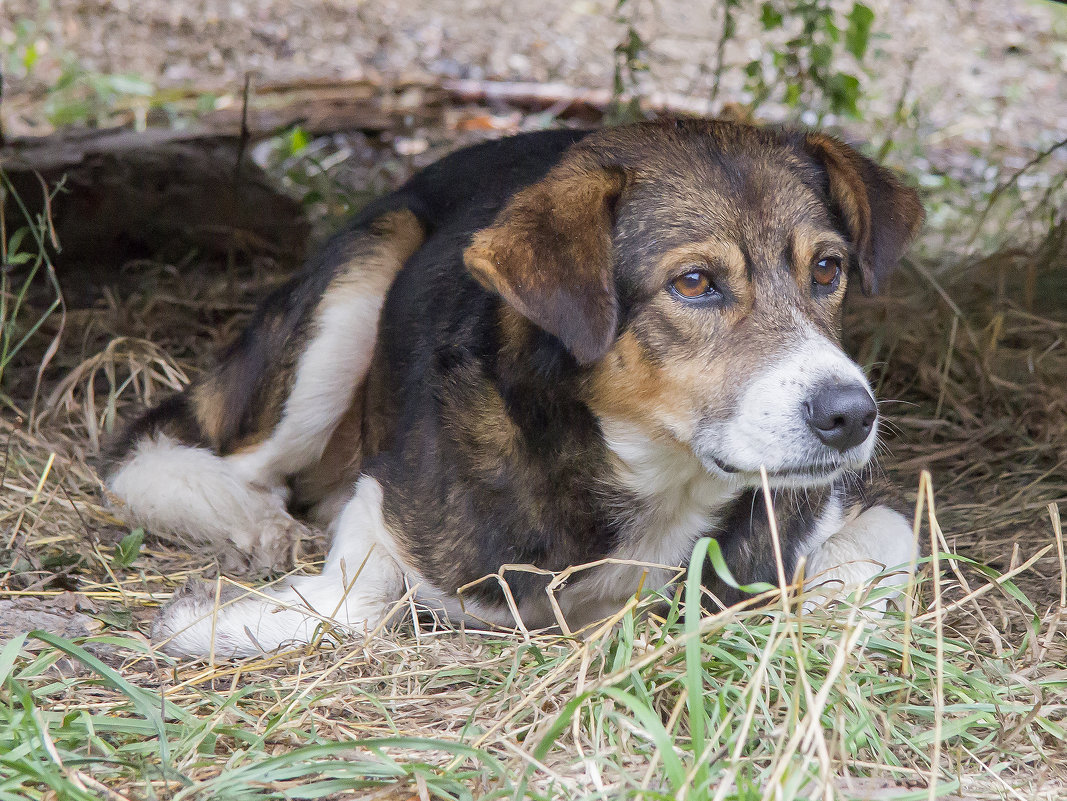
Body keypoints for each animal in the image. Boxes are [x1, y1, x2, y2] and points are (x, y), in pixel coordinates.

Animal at [101, 118, 926, 657]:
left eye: (827, 268)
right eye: (694, 283)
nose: (851, 415)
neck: (648, 477)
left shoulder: (859, 506)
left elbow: (870, 554)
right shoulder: (387, 504)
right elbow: (361, 597)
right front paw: (209, 621)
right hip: (357, 280)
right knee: (163, 449)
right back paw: (241, 515)